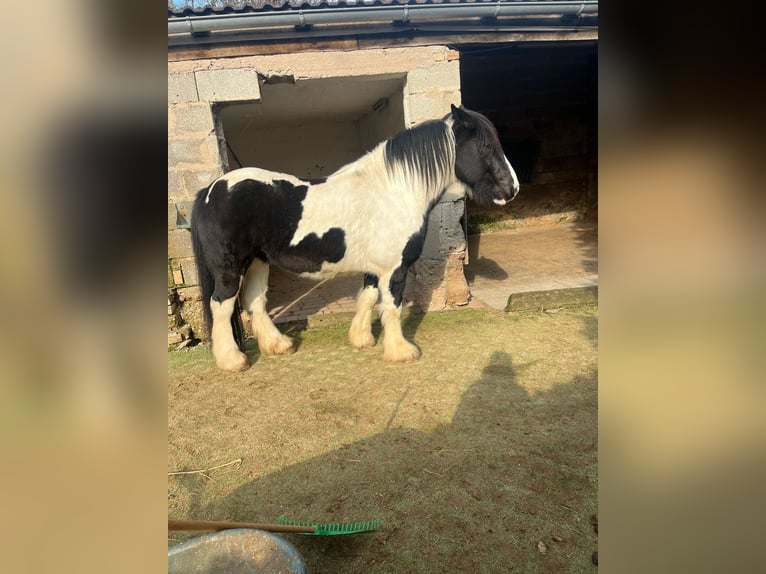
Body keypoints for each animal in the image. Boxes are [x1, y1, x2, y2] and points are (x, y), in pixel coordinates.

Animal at [190, 104, 520, 372]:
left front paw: (362, 339)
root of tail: (210, 190)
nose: (512, 189)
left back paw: (279, 345)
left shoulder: (376, 268)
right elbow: (392, 306)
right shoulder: (394, 269)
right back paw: (233, 360)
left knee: (255, 301)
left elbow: (369, 297)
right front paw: (401, 351)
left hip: (258, 261)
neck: (395, 191)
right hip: (230, 266)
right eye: (485, 147)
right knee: (222, 305)